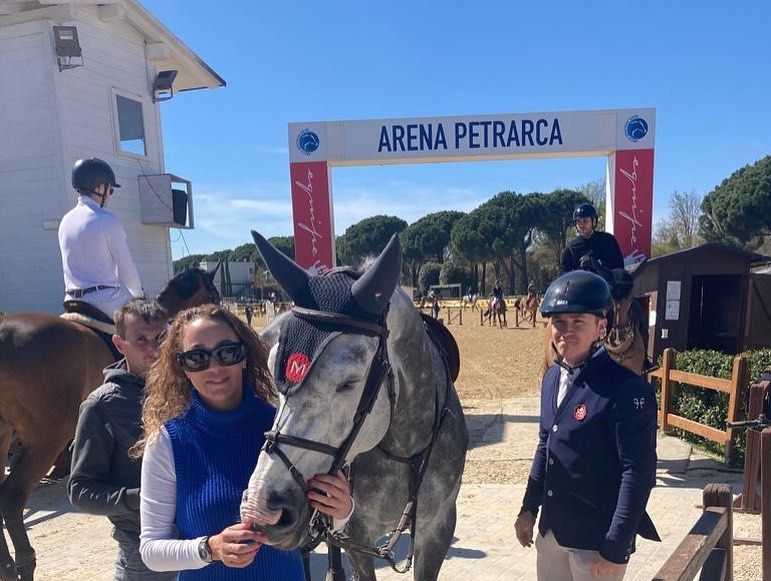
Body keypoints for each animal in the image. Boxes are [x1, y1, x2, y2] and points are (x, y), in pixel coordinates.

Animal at [240, 232, 468, 581]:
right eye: (272, 368)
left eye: (348, 382)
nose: (263, 507)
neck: (405, 449)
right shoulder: (356, 539)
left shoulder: (438, 528)